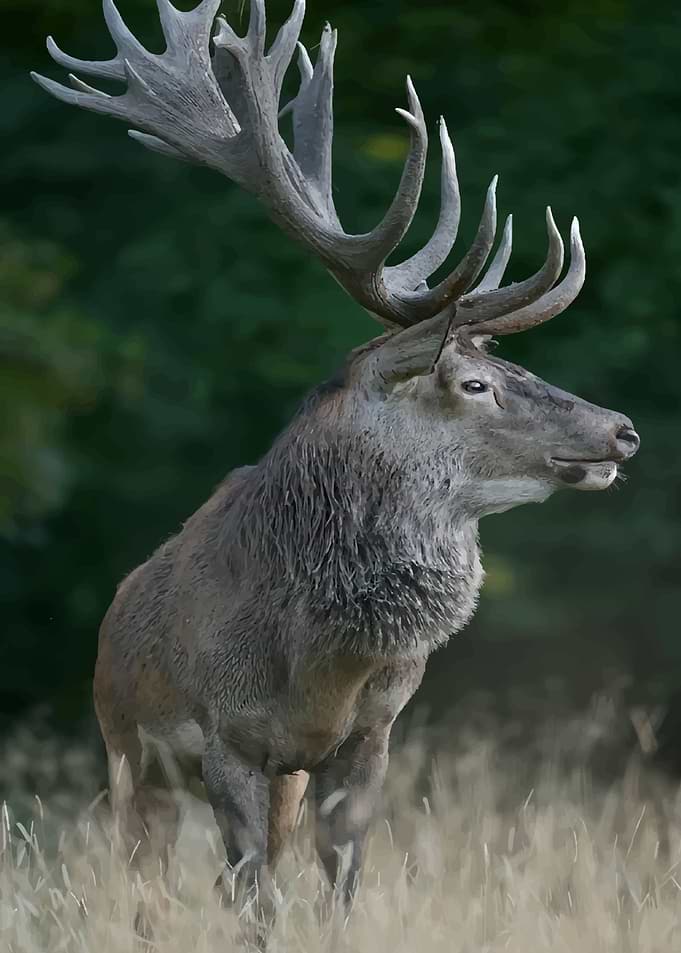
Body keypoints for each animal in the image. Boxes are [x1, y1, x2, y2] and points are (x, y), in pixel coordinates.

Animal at [32, 0, 640, 937]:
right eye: (472, 382)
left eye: (514, 365)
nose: (620, 431)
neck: (319, 661)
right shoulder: (224, 737)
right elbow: (254, 901)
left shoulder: (368, 735)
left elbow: (337, 887)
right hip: (125, 748)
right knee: (143, 881)